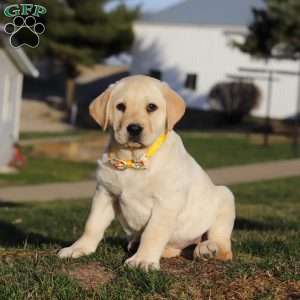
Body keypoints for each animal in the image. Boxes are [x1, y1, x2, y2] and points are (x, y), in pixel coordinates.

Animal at [58, 74, 234, 270]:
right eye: (120, 107)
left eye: (151, 107)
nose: (134, 128)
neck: (133, 160)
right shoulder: (105, 193)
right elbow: (92, 224)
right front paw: (79, 248)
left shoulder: (166, 202)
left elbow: (153, 232)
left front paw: (143, 260)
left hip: (225, 197)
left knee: (224, 247)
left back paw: (207, 249)